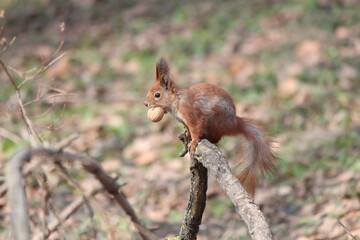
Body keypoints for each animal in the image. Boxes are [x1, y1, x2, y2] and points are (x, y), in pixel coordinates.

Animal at [145, 56, 278, 197]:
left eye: (157, 95)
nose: (145, 104)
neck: (177, 100)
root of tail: (235, 124)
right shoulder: (184, 121)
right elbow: (189, 130)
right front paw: (187, 137)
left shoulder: (192, 113)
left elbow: (196, 128)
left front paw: (193, 142)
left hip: (215, 120)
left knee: (217, 138)